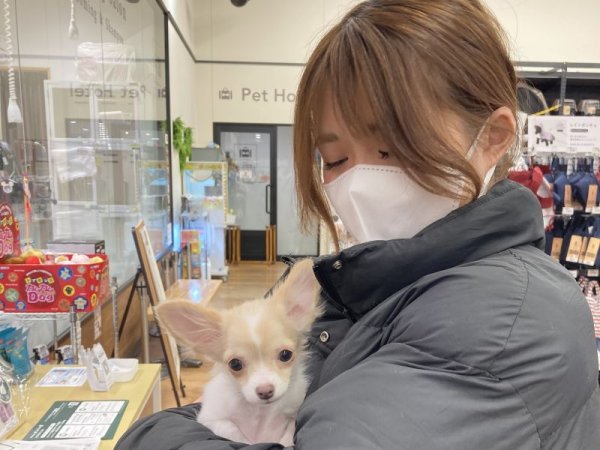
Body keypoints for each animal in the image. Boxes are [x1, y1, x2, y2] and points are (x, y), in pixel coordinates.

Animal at [155, 259, 321, 446]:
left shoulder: (292, 412)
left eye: (286, 355)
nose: (265, 391)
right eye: (235, 364)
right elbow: (234, 432)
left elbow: (288, 432)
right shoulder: (212, 419)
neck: (260, 413)